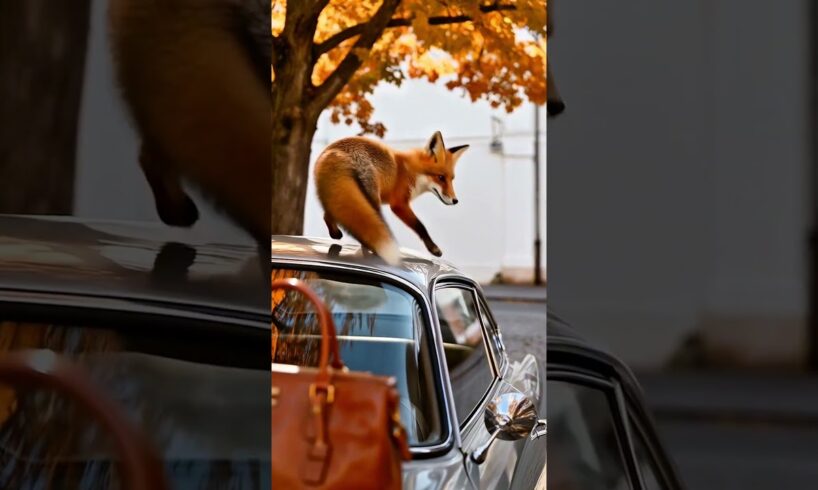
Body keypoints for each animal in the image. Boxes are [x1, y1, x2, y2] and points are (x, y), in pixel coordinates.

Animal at [314, 131, 469, 265]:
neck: (410, 172)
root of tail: (333, 151)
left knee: (329, 214)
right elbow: (420, 226)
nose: (455, 200)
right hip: (372, 200)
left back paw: (336, 234)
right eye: (441, 178)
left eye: (451, 179)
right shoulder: (399, 204)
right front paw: (433, 248)